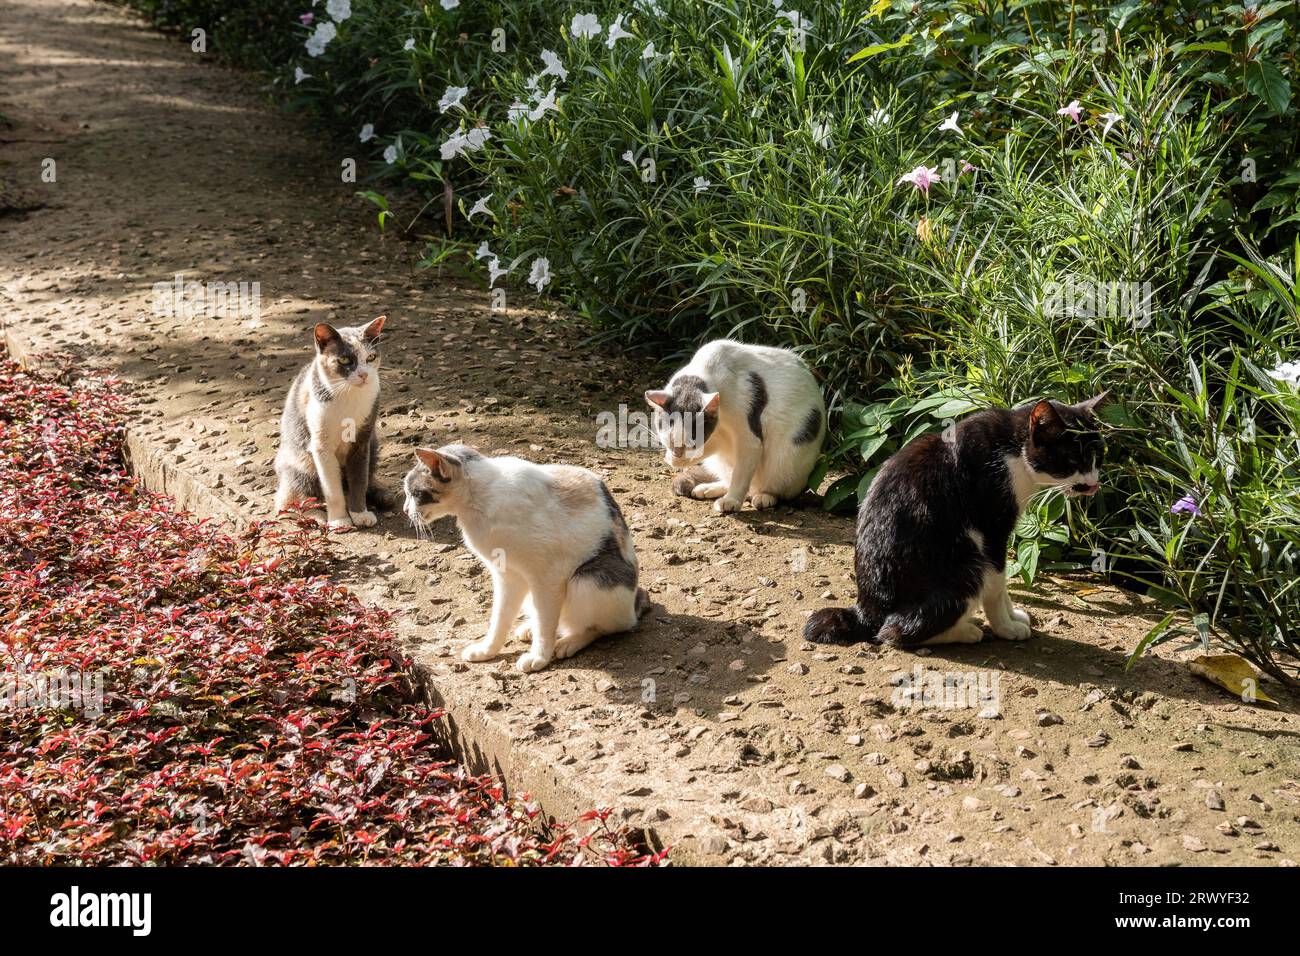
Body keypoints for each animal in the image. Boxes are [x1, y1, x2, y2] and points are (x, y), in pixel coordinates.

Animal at [400, 447, 650, 671]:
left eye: (416, 493)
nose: (404, 510)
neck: (479, 502)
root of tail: (635, 600)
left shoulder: (547, 577)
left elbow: (545, 622)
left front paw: (539, 657)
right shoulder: (506, 576)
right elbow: (499, 618)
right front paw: (487, 650)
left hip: (588, 579)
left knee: (607, 626)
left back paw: (568, 642)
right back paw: (531, 628)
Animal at [647, 340, 826, 512]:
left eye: (692, 441)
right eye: (670, 439)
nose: (676, 453)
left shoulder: (749, 436)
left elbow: (740, 475)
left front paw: (732, 500)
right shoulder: (716, 439)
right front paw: (673, 458)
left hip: (786, 457)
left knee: (772, 488)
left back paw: (764, 496)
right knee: (731, 478)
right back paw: (708, 488)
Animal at [806, 392, 1102, 647]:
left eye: (1098, 457)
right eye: (1073, 459)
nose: (1093, 484)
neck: (1013, 450)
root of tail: (867, 608)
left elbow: (1003, 582)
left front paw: (1014, 616)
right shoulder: (992, 528)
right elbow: (997, 584)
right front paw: (1006, 627)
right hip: (966, 563)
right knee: (893, 632)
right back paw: (965, 632)